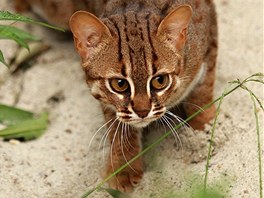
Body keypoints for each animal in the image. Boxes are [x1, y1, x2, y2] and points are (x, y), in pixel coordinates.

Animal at [13, 0, 217, 193]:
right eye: (119, 84)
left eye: (160, 81)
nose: (143, 112)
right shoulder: (108, 101)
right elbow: (118, 130)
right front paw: (123, 168)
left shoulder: (209, 35)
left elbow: (203, 91)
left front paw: (204, 132)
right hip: (58, 12)